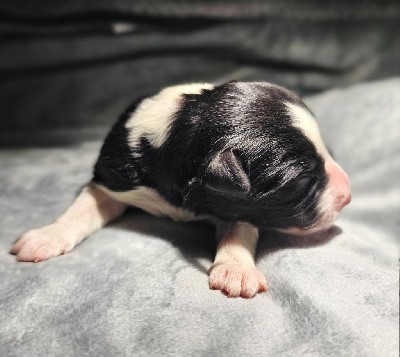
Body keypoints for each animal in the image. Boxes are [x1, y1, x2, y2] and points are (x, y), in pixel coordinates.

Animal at [10, 81, 352, 298]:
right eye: (301, 182)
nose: (348, 195)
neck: (178, 131)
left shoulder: (239, 202)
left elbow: (240, 225)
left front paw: (236, 268)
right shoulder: (112, 176)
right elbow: (82, 208)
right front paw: (47, 236)